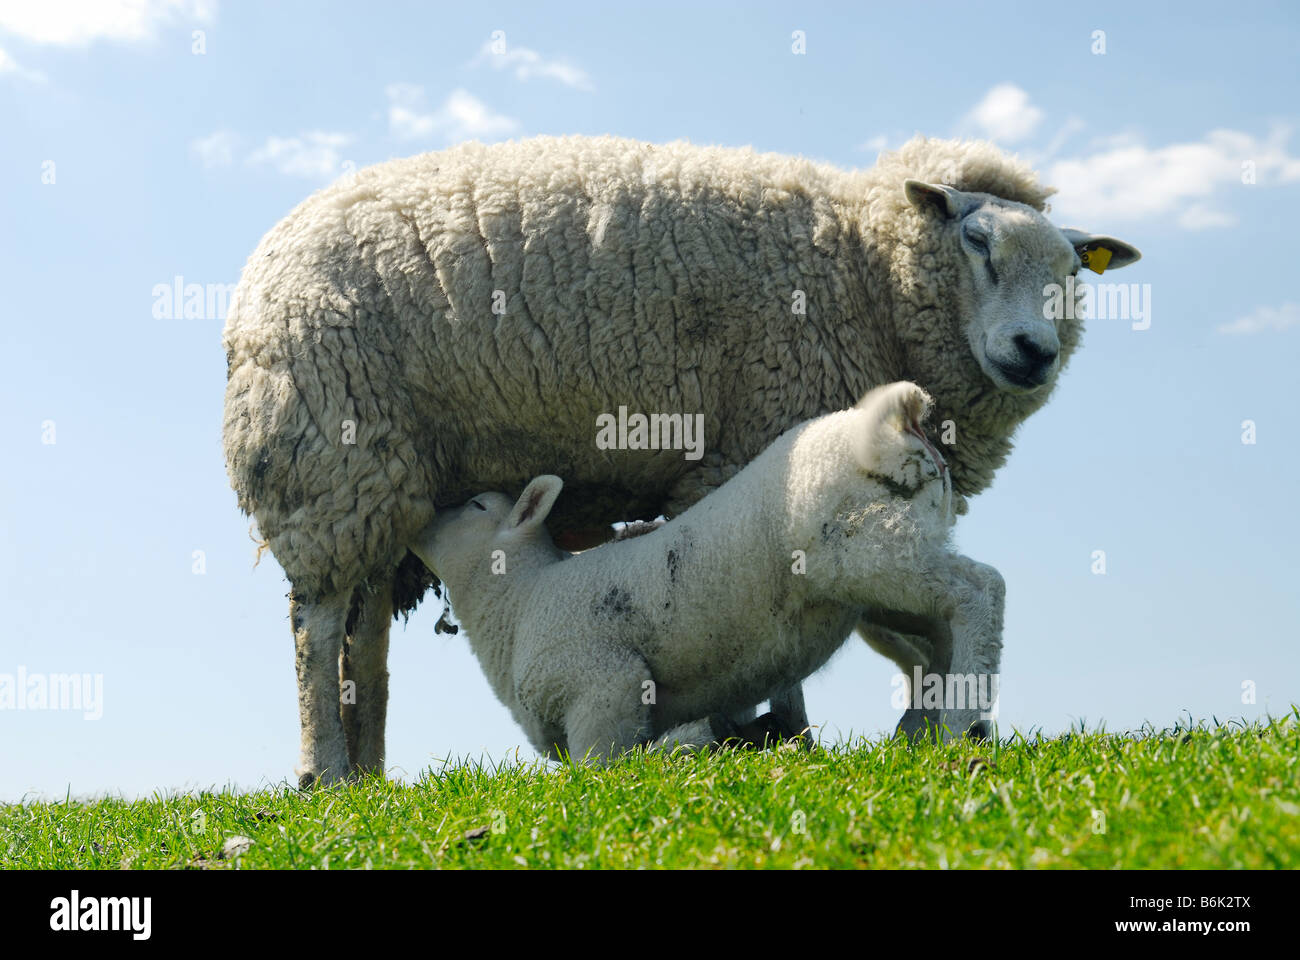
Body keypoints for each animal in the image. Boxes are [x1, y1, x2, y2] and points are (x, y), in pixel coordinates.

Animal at [409, 382, 1002, 761]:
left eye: (477, 506)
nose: (423, 517)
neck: (517, 602)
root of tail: (898, 426)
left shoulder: (604, 686)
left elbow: (602, 770)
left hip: (866, 545)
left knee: (979, 590)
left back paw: (962, 723)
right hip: (883, 563)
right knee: (939, 634)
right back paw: (923, 728)